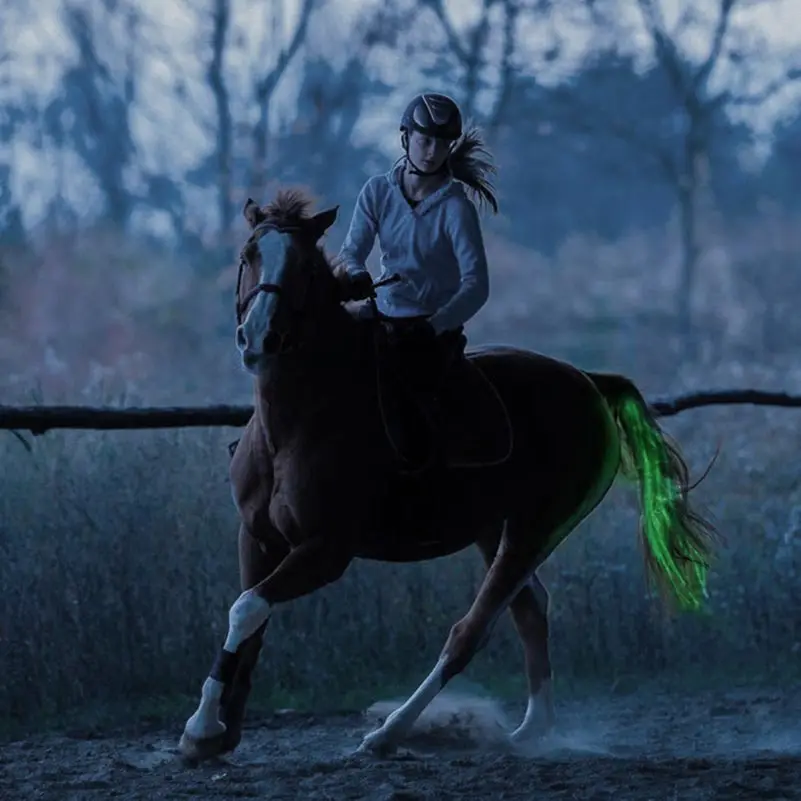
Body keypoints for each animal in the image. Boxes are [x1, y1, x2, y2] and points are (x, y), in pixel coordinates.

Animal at [180, 186, 720, 756]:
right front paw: (217, 731)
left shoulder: (326, 550)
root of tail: (591, 382)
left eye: (304, 267)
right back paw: (530, 730)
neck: (297, 419)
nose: (259, 337)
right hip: (495, 531)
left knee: (471, 630)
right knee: (530, 610)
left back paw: (390, 732)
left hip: (537, 528)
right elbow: (250, 618)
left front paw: (202, 728)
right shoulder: (257, 536)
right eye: (248, 255)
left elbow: (247, 608)